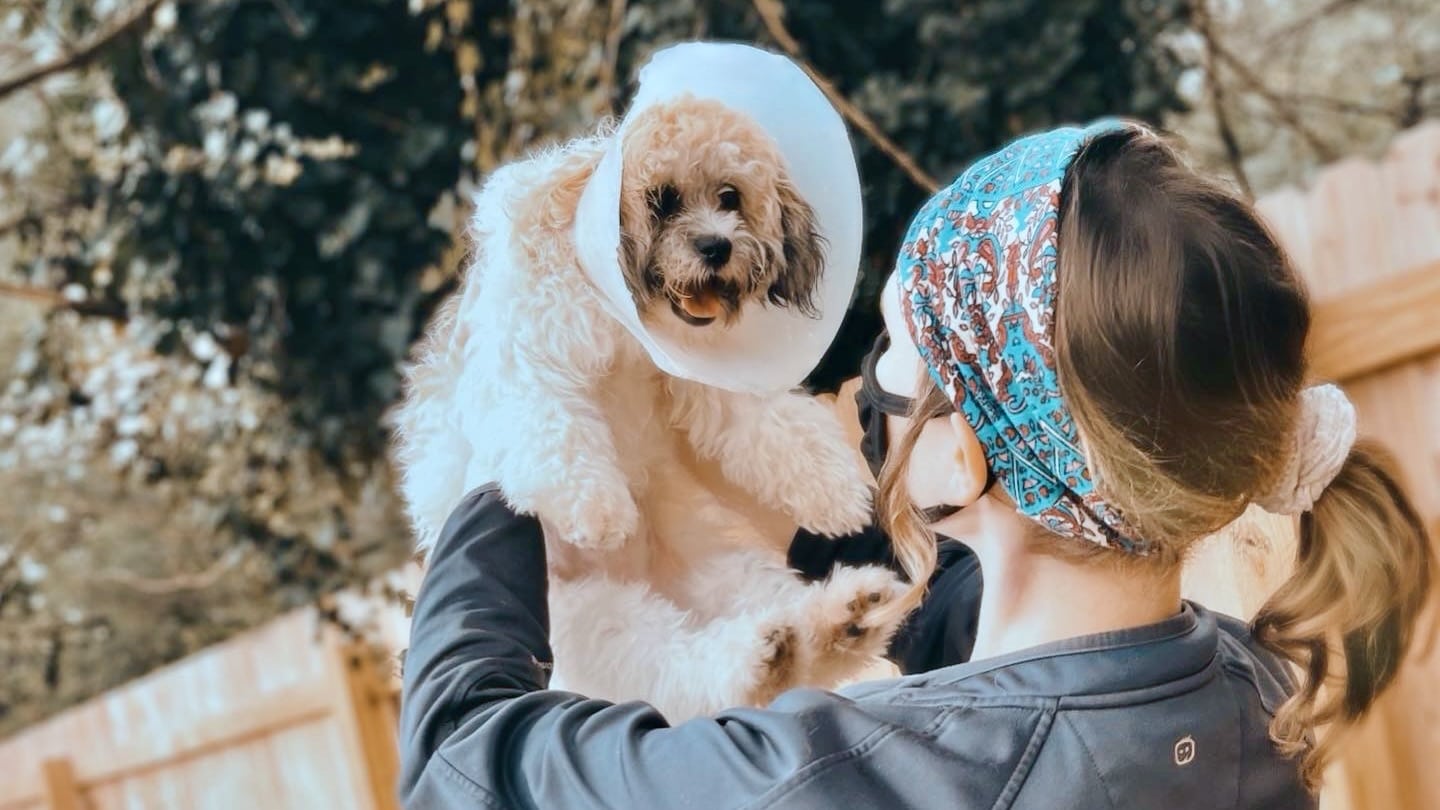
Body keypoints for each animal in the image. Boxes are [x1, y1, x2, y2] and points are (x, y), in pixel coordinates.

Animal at [383, 95, 898, 717]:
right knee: (688, 670)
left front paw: (835, 491)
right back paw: (772, 652)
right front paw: (597, 508)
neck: (620, 318)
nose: (716, 246)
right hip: (603, 621)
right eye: (662, 200)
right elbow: (550, 422)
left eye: (729, 197)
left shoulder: (705, 376)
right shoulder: (524, 355)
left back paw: (837, 622)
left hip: (725, 567)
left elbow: (772, 423)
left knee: (755, 644)